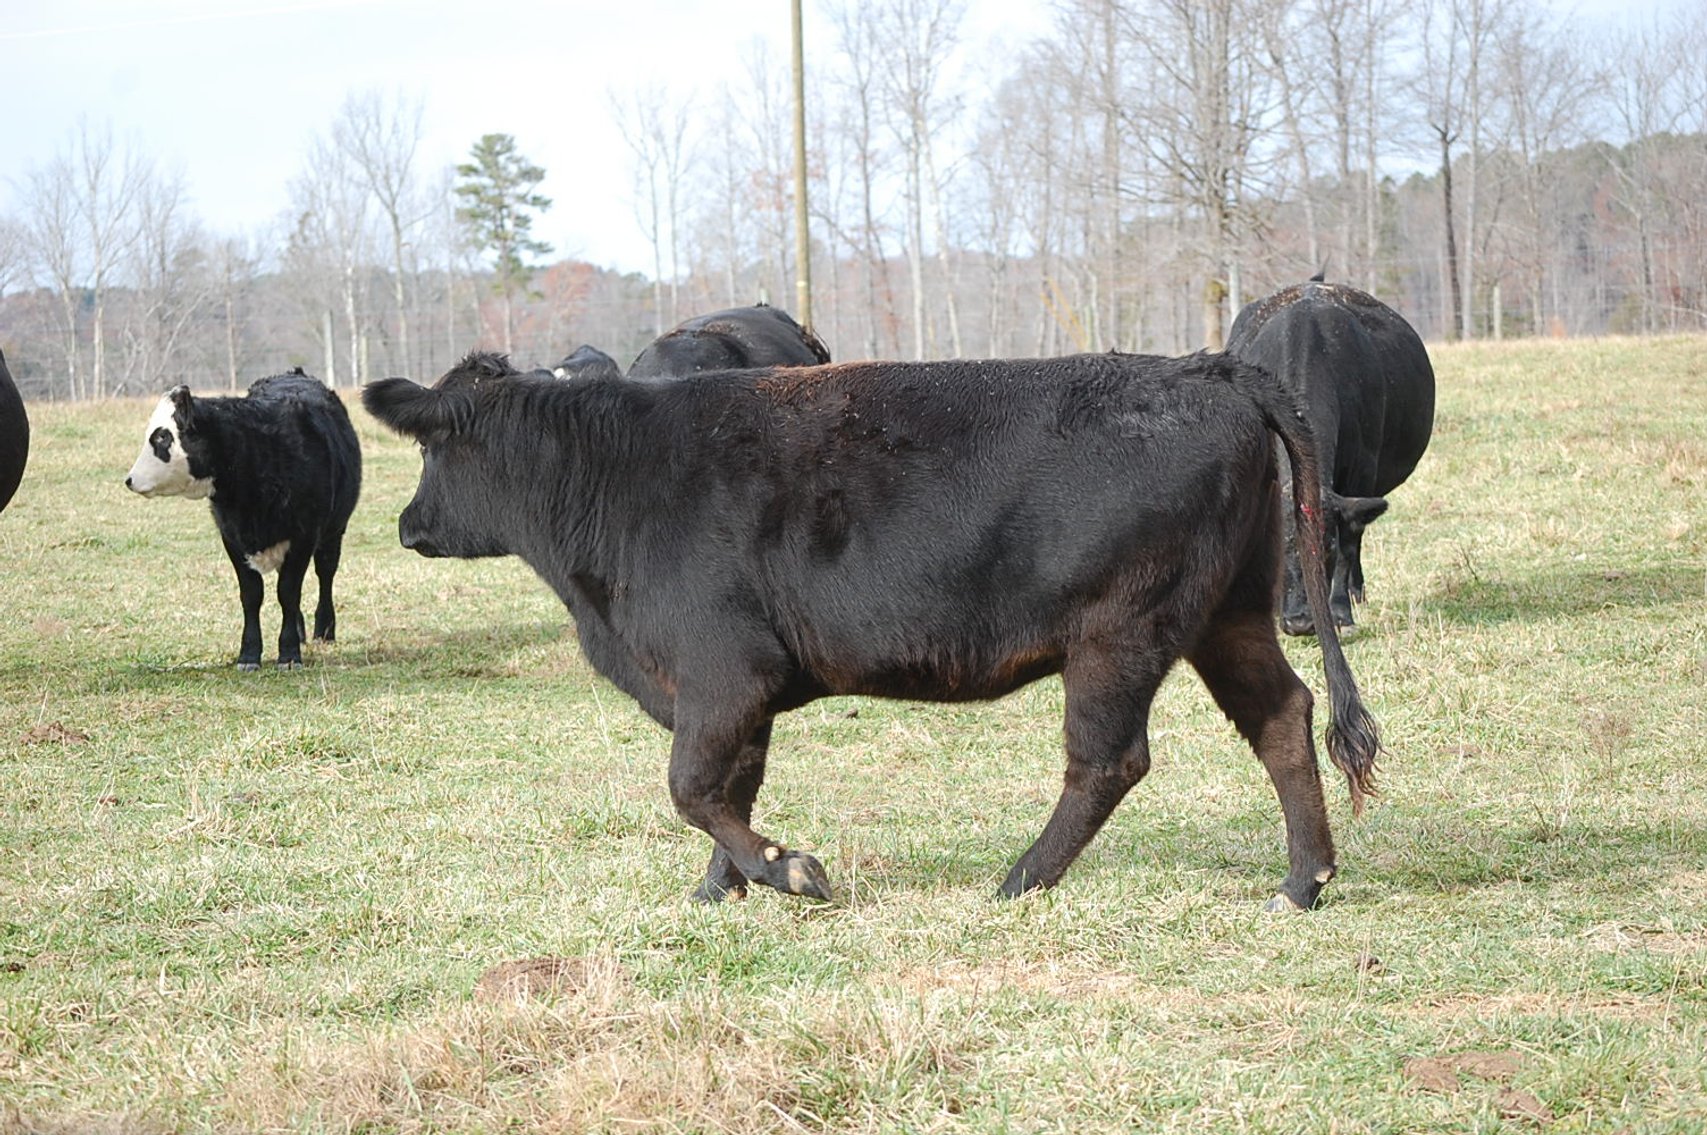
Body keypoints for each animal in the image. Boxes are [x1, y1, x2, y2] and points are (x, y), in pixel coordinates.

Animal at [125, 369, 362, 670]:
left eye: (162, 437)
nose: (130, 479)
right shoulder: (231, 535)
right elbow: (252, 595)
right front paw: (249, 655)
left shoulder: (304, 535)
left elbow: (288, 592)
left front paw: (288, 654)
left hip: (334, 531)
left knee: (325, 575)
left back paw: (324, 630)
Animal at [363, 350, 1380, 912]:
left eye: (431, 449)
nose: (409, 525)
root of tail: (1201, 366)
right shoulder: (741, 689)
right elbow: (730, 782)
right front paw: (720, 887)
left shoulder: (721, 671)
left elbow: (691, 785)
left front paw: (786, 870)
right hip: (1229, 613)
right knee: (1283, 717)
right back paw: (1302, 881)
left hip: (1121, 630)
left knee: (1107, 760)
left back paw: (1020, 877)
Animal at [1226, 277, 1435, 636]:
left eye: (1327, 548)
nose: (1299, 621)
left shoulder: (1362, 472)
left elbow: (1350, 544)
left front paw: (1340, 612)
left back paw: (1355, 592)